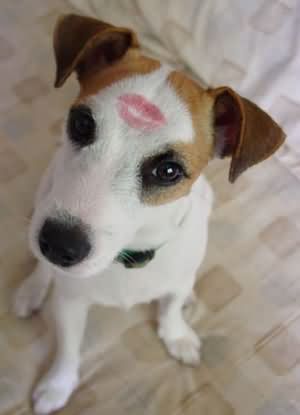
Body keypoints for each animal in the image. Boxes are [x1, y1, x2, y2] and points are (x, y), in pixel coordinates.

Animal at [13, 13, 286, 415]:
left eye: (168, 170)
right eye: (82, 124)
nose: (59, 244)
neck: (128, 258)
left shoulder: (175, 274)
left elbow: (170, 308)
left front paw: (177, 335)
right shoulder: (69, 301)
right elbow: (67, 347)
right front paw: (58, 384)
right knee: (41, 269)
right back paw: (33, 288)